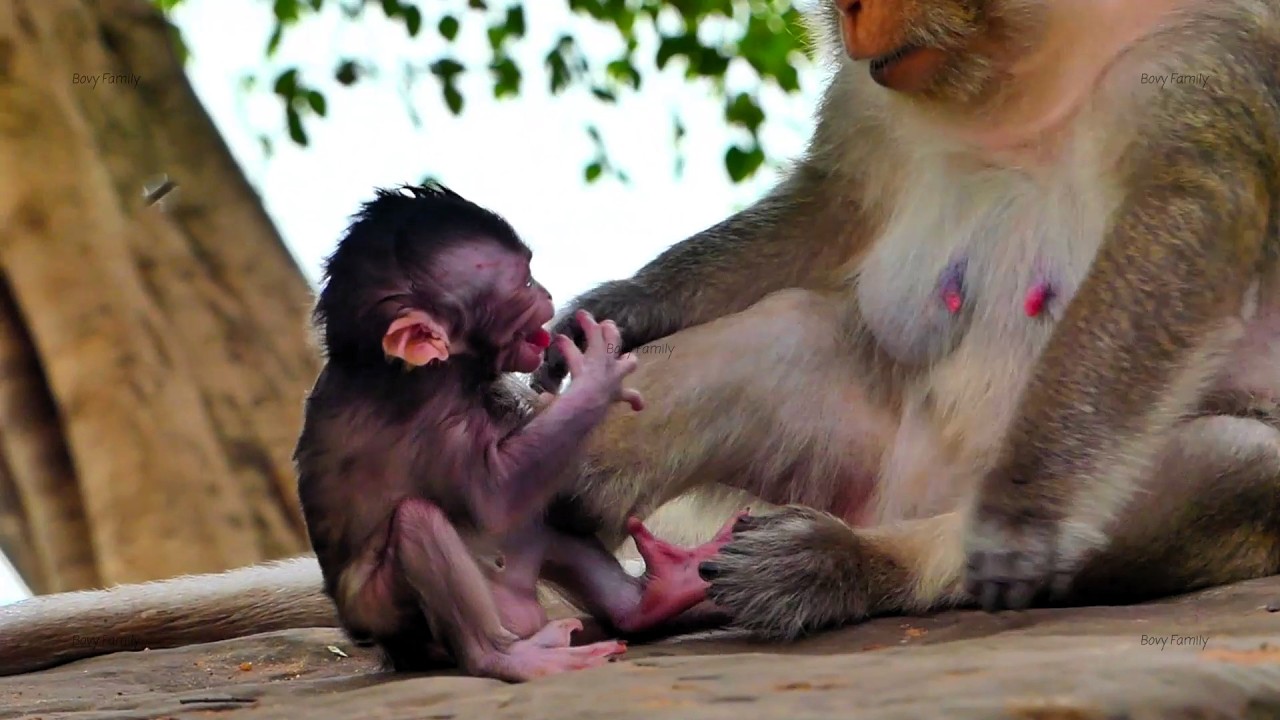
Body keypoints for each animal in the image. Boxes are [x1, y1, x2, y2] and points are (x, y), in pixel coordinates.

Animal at [3, 0, 1280, 675]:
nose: (852, 12)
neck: (1014, 75)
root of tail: (900, 499)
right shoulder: (872, 101)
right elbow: (823, 213)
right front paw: (615, 308)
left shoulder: (1200, 59)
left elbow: (1189, 216)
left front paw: (1019, 511)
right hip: (852, 447)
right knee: (788, 340)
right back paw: (593, 546)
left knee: (1222, 467)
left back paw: (853, 565)